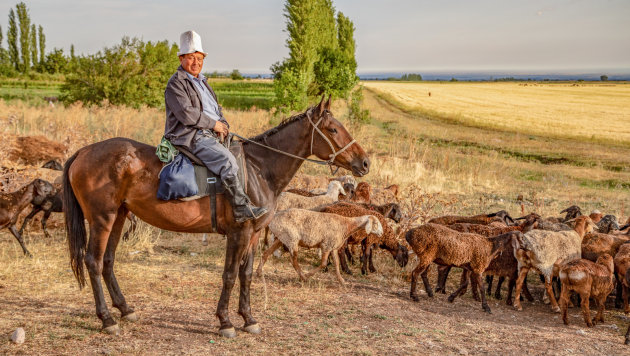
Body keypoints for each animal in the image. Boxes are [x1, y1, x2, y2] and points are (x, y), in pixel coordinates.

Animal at [63, 97, 370, 336]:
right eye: (333, 129)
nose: (365, 163)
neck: (259, 169)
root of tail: (83, 151)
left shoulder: (253, 235)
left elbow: (246, 275)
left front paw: (248, 319)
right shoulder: (239, 233)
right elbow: (230, 275)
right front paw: (225, 322)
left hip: (118, 217)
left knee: (108, 261)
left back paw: (125, 309)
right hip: (102, 219)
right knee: (93, 262)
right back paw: (107, 319)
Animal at [256, 210, 386, 286]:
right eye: (376, 223)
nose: (381, 233)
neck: (347, 226)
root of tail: (273, 218)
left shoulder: (333, 247)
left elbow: (337, 264)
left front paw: (342, 281)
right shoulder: (326, 245)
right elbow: (323, 264)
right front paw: (309, 275)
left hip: (281, 237)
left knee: (266, 253)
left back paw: (258, 272)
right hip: (291, 238)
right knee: (293, 261)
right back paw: (303, 277)